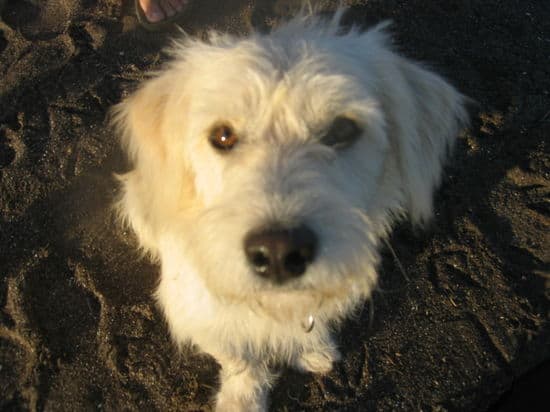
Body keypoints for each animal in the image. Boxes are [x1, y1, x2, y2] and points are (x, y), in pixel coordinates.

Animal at [112, 10, 470, 412]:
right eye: (222, 135)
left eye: (342, 129)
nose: (279, 252)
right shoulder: (202, 317)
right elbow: (237, 356)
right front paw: (243, 396)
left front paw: (311, 349)